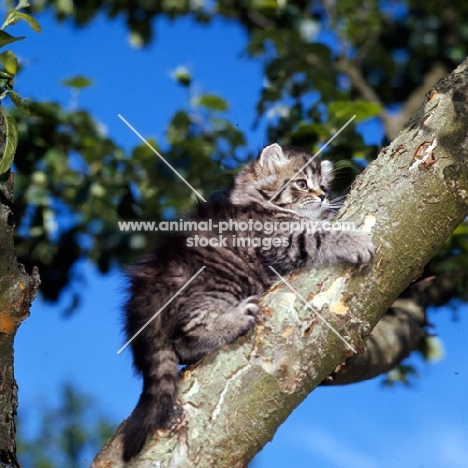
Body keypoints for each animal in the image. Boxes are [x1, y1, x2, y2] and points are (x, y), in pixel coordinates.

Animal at [122, 144, 374, 460]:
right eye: (302, 183)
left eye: (324, 186)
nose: (323, 196)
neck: (264, 207)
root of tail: (147, 286)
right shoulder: (281, 240)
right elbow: (317, 235)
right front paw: (352, 239)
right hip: (222, 282)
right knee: (186, 334)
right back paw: (234, 320)